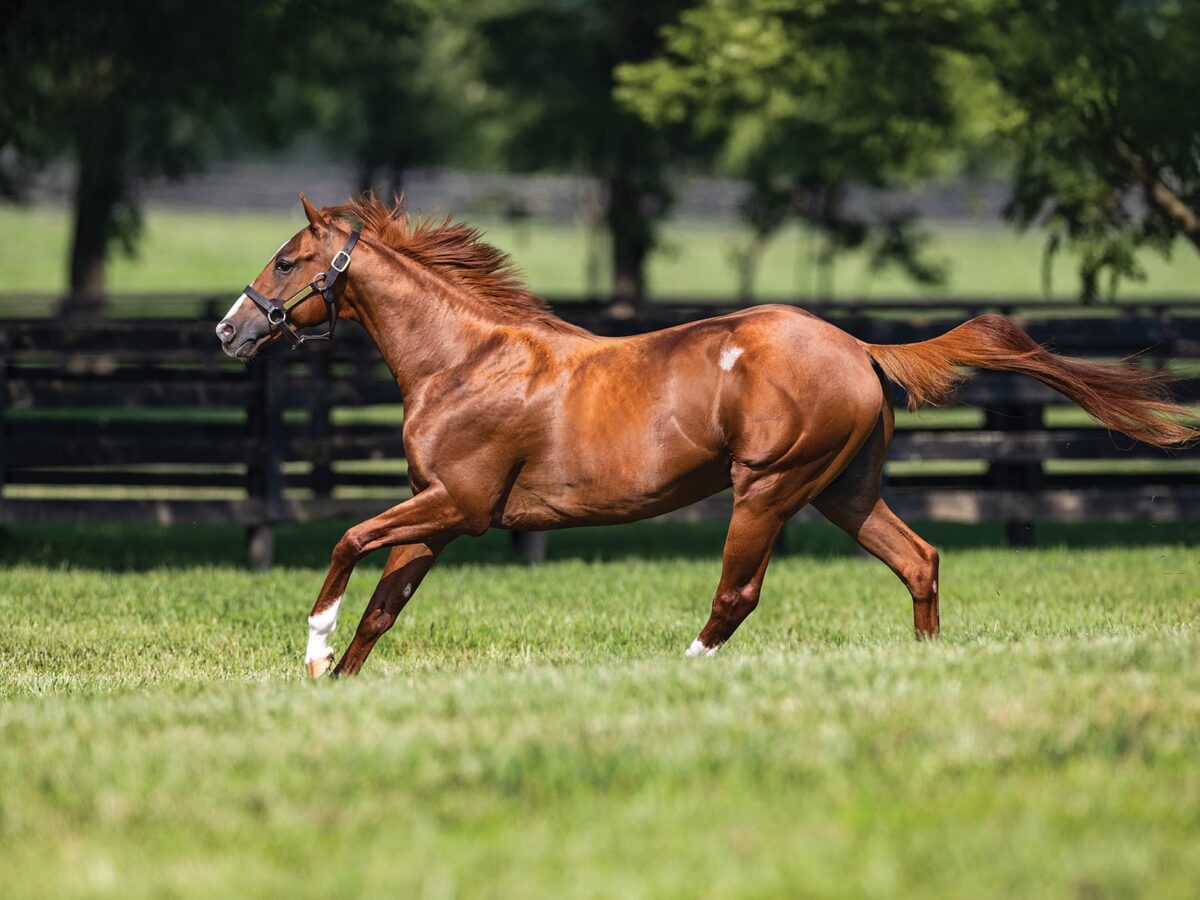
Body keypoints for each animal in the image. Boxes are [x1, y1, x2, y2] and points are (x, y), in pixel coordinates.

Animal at [213, 195, 1190, 676]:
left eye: (290, 260)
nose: (229, 330)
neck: (466, 361)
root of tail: (858, 348)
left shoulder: (461, 505)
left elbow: (348, 541)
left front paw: (312, 649)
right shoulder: (441, 515)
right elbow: (385, 605)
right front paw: (336, 681)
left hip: (769, 487)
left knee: (738, 594)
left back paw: (682, 670)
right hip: (846, 491)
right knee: (919, 560)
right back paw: (926, 664)